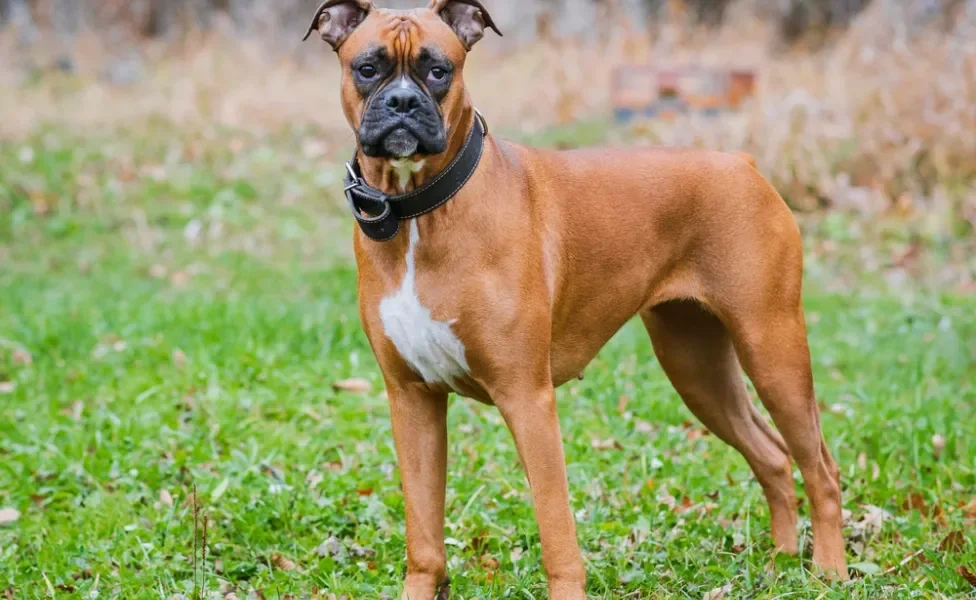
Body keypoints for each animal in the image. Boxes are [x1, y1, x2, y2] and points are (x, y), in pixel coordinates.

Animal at [304, 2, 848, 596]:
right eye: (367, 68)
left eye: (438, 70)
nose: (402, 101)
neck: (420, 211)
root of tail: (741, 162)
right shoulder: (412, 400)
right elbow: (424, 536)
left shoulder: (528, 399)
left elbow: (556, 530)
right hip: (698, 367)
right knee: (771, 455)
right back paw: (781, 560)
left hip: (771, 348)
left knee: (821, 467)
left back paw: (829, 570)